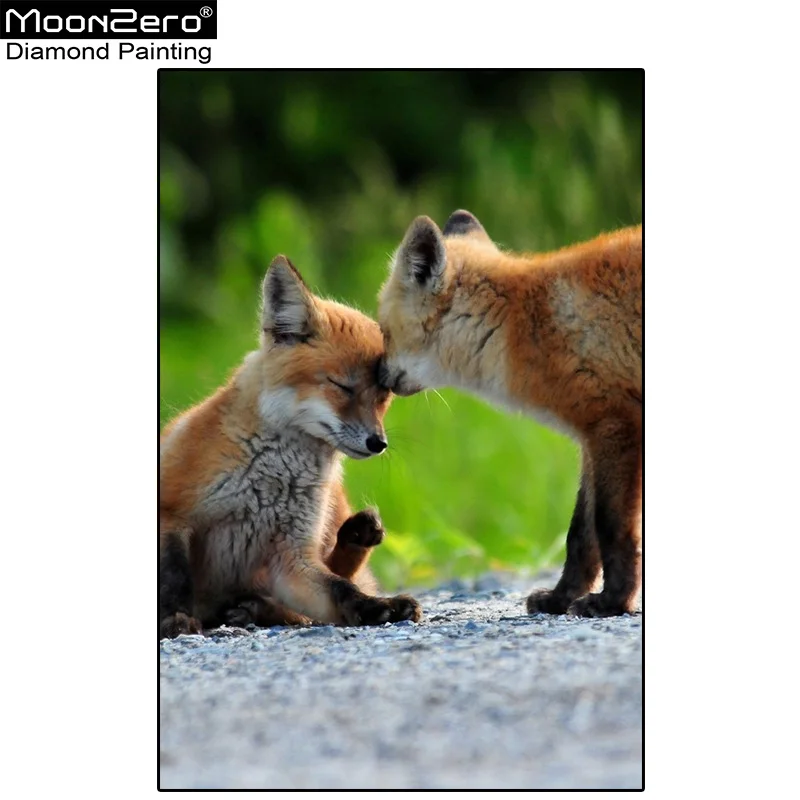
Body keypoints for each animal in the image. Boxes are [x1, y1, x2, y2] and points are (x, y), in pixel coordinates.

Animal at [159, 255, 422, 639]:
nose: (378, 443)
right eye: (342, 386)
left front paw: (374, 607)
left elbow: (340, 589)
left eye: (383, 395)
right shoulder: (172, 514)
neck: (274, 476)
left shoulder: (290, 554)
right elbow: (174, 580)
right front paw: (174, 620)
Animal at [378, 210, 642, 618]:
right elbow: (580, 535)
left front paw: (613, 601)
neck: (522, 324)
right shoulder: (591, 439)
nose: (376, 376)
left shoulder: (615, 426)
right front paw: (560, 598)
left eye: (384, 331)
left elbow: (611, 528)